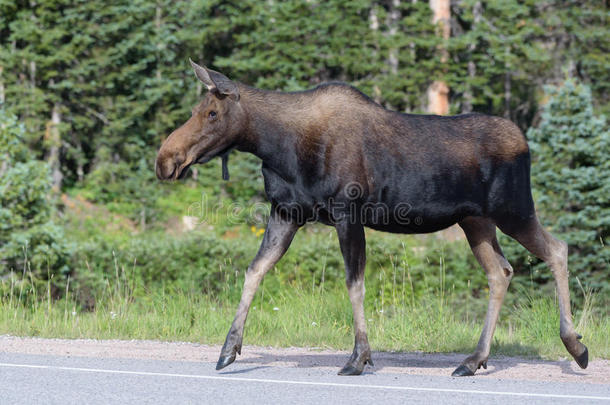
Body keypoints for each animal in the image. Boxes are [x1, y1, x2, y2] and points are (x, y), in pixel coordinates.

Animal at [154, 59, 588, 376]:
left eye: (212, 112)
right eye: (197, 110)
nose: (165, 160)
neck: (276, 148)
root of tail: (525, 141)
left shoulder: (348, 213)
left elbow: (354, 283)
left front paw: (359, 357)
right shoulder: (286, 213)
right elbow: (253, 271)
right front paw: (228, 349)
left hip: (513, 208)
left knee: (557, 248)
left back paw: (575, 345)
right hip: (475, 221)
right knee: (501, 271)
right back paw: (473, 359)